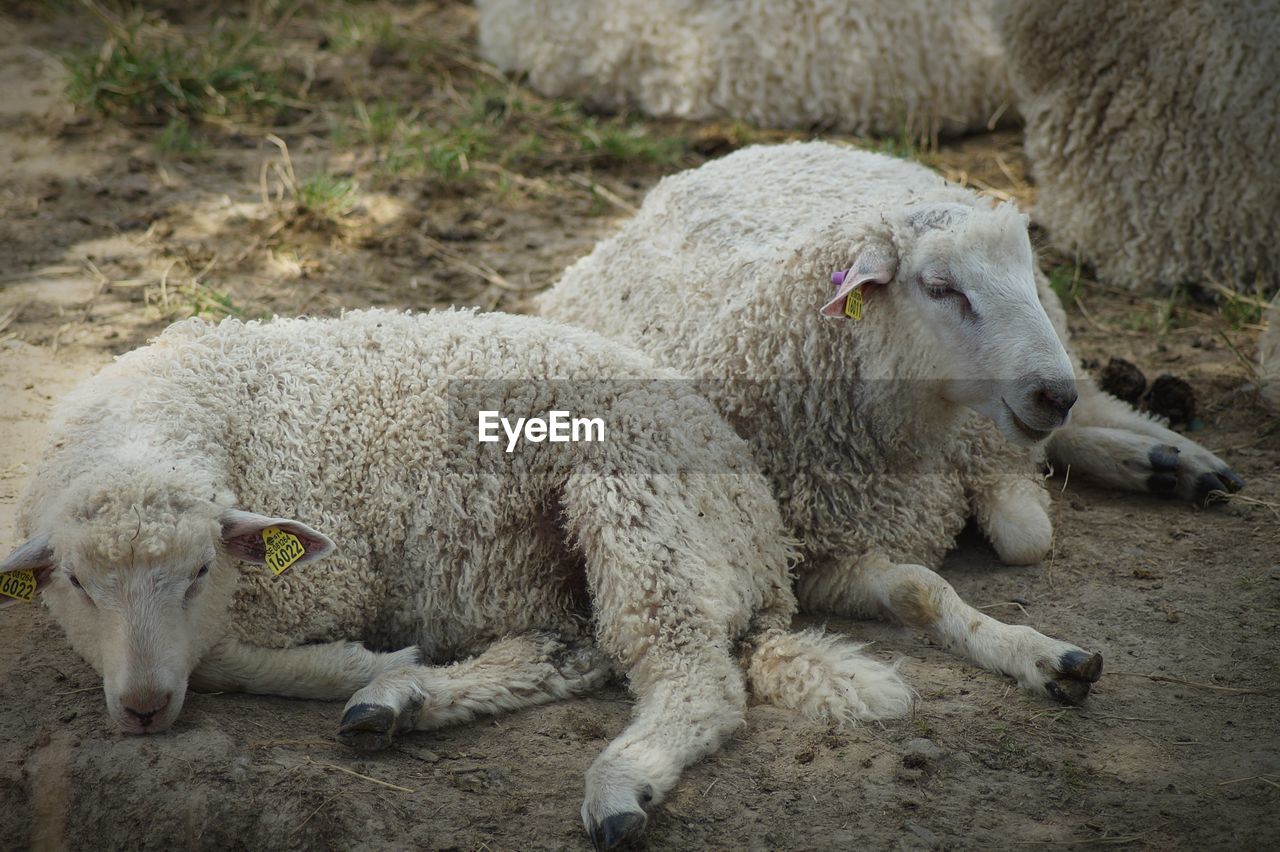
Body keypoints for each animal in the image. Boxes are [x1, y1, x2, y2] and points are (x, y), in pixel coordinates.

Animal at [0, 308, 911, 844]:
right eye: (75, 583)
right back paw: (405, 704)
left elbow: (221, 656)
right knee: (574, 653)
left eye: (197, 570)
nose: (143, 710)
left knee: (694, 680)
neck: (155, 422)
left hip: (639, 501)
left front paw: (363, 661)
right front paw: (381, 674)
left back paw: (618, 784)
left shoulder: (322, 582)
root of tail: (766, 547)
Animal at [537, 142, 1239, 701]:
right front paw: (1036, 654)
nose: (1050, 392)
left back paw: (1181, 460)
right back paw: (1158, 463)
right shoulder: (812, 558)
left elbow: (1026, 534)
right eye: (940, 287)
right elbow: (921, 591)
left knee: (1093, 408)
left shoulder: (980, 449)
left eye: (1020, 276)